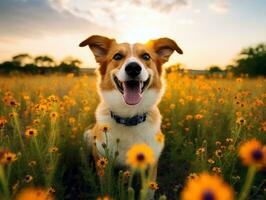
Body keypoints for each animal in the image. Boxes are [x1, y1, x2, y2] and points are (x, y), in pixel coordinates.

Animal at [80, 34, 182, 195]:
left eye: (146, 56)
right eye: (117, 56)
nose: (133, 68)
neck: (129, 117)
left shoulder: (151, 168)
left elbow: (147, 193)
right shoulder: (104, 165)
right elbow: (106, 189)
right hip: (88, 135)